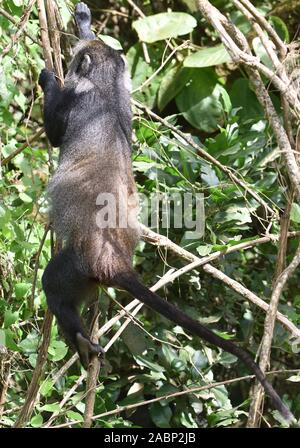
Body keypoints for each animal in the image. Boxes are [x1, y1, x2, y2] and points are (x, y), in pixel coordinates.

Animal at [38, 2, 294, 424]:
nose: (68, 65)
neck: (106, 88)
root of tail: (114, 261)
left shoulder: (78, 99)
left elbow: (55, 133)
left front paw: (48, 78)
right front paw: (84, 22)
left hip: (76, 267)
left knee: (54, 287)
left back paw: (81, 341)